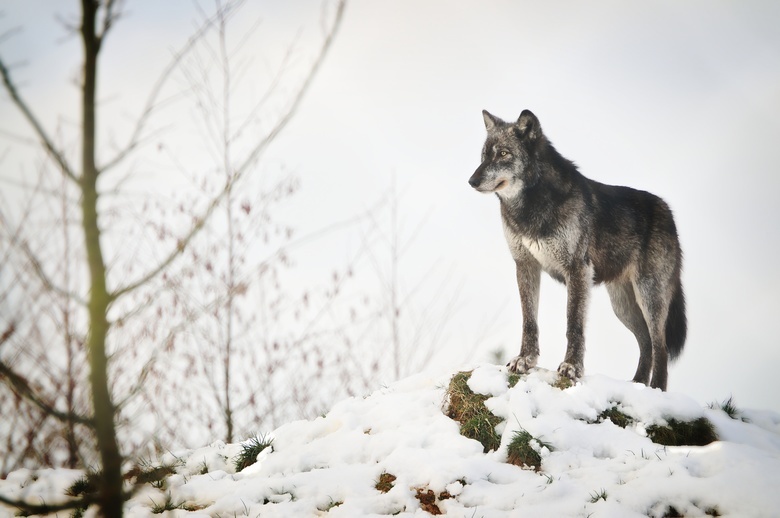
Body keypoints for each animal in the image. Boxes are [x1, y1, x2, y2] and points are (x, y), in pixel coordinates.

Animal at [470, 110, 684, 394]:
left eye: (504, 153)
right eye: (484, 156)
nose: (472, 181)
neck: (530, 207)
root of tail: (667, 211)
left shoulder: (577, 270)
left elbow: (574, 324)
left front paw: (571, 367)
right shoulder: (525, 265)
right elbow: (529, 321)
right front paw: (525, 360)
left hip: (649, 297)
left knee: (660, 346)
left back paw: (655, 391)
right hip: (623, 306)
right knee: (646, 343)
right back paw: (637, 386)